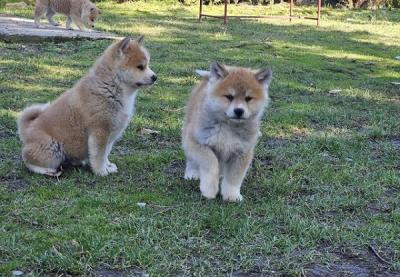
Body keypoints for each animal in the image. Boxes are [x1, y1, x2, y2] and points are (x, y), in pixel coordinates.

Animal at [182, 62, 272, 201]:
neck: (229, 127)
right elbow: (211, 163)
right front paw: (209, 189)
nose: (239, 111)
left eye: (248, 98)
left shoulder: (242, 153)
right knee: (192, 160)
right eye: (229, 97)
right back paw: (192, 173)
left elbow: (234, 177)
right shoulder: (197, 142)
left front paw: (231, 195)